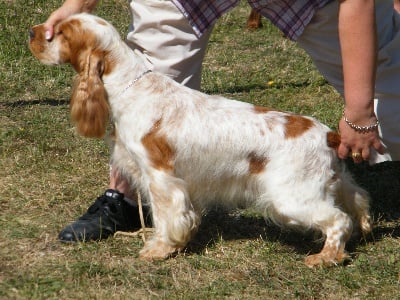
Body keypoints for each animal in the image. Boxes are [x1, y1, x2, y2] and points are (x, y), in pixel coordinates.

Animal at [28, 13, 372, 268]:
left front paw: (159, 249)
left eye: (59, 33)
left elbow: (167, 217)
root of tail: (328, 134)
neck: (130, 85)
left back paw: (325, 257)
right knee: (356, 201)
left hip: (291, 197)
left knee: (338, 220)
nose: (32, 32)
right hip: (330, 181)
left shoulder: (160, 177)